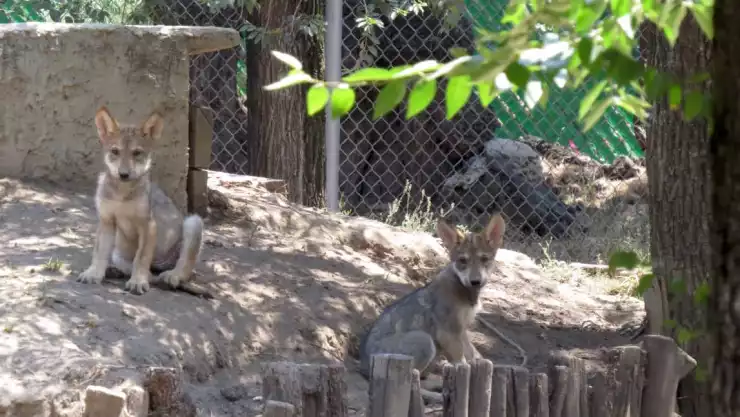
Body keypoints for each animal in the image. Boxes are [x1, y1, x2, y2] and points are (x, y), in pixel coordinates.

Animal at [77, 106, 204, 295]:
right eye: (115, 151)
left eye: (137, 153)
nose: (123, 174)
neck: (122, 194)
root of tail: (159, 266)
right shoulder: (107, 221)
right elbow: (99, 253)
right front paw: (93, 274)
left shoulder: (148, 225)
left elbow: (141, 257)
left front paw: (138, 281)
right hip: (117, 251)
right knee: (134, 267)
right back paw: (114, 271)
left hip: (193, 223)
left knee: (184, 268)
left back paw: (170, 277)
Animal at [358, 214, 506, 381]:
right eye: (462, 261)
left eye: (484, 259)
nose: (475, 281)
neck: (465, 291)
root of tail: (363, 365)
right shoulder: (448, 332)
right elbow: (461, 361)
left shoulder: (461, 329)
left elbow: (473, 354)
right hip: (425, 342)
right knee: (414, 376)